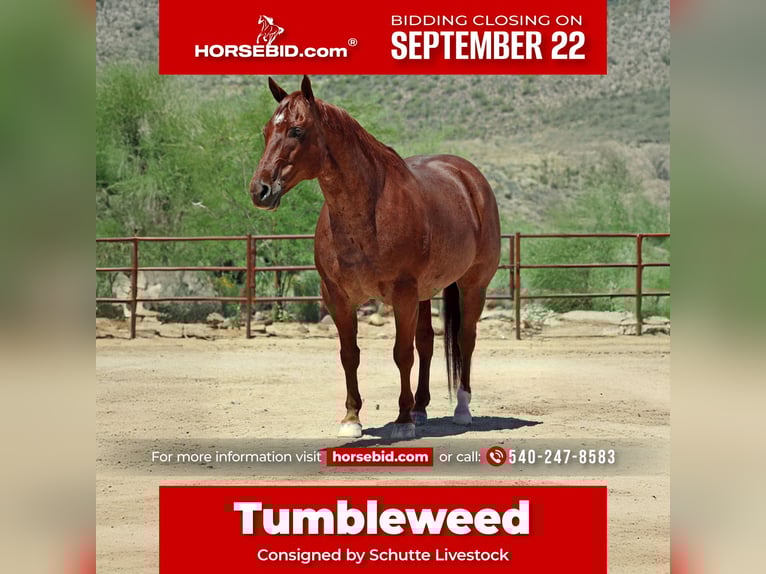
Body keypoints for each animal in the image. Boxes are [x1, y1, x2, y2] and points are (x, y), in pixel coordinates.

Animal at [250, 76, 501, 440]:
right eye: (267, 130)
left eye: (297, 130)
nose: (260, 190)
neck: (367, 212)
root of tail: (469, 178)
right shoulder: (337, 297)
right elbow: (349, 354)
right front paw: (352, 419)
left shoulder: (402, 294)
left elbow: (402, 354)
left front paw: (403, 421)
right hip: (426, 293)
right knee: (427, 341)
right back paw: (421, 408)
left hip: (473, 286)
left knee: (465, 340)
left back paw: (461, 410)